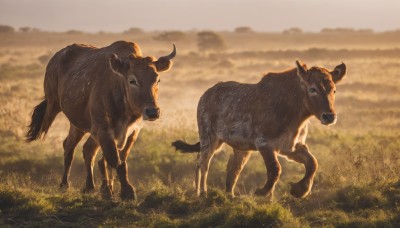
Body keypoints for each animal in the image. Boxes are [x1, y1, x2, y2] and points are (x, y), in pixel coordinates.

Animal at [25, 40, 175, 200]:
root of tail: (56, 58)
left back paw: (91, 186)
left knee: (83, 148)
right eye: (132, 80)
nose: (153, 112)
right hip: (57, 108)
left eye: (157, 80)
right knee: (71, 148)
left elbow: (119, 159)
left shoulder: (132, 132)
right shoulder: (103, 130)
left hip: (79, 125)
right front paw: (127, 191)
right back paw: (65, 184)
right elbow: (115, 160)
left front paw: (111, 188)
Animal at [173, 60, 346, 200]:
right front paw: (262, 192)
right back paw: (201, 192)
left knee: (233, 170)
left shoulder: (292, 147)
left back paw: (230, 195)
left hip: (241, 149)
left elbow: (312, 163)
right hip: (209, 138)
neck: (297, 116)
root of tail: (206, 93)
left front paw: (300, 190)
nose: (329, 116)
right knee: (202, 163)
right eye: (312, 89)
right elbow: (275, 169)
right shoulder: (264, 143)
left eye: (334, 90)